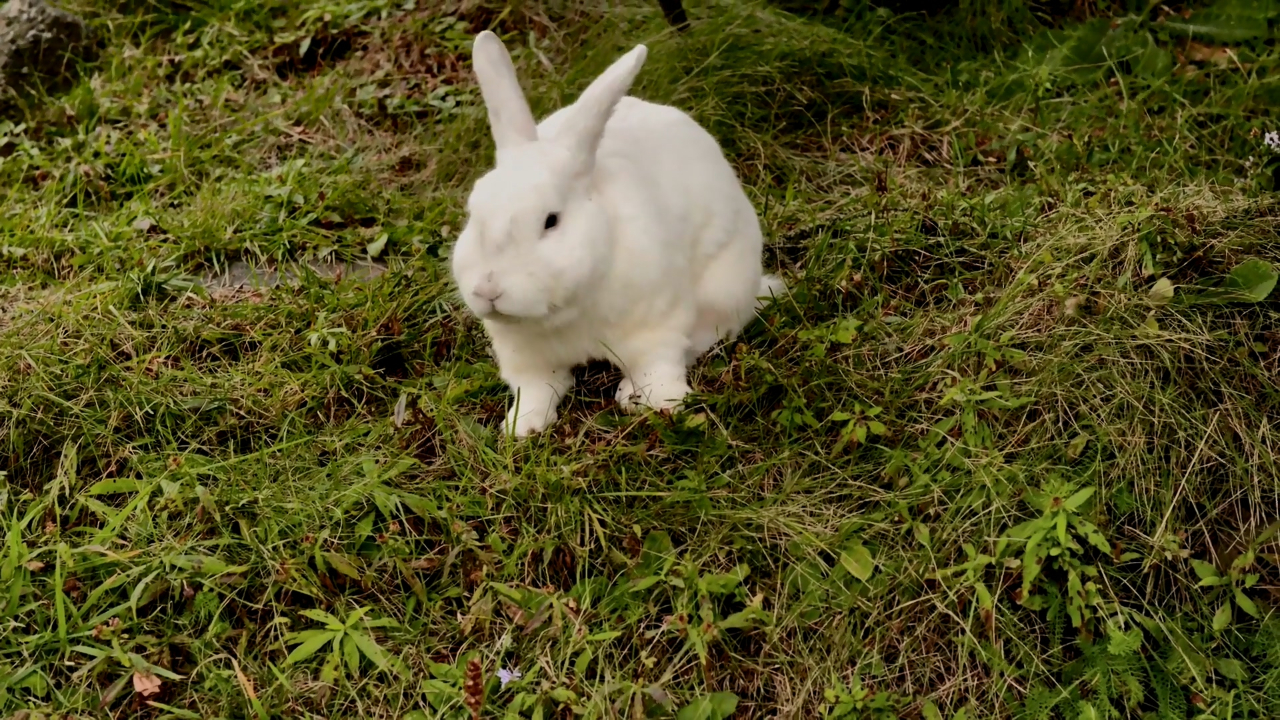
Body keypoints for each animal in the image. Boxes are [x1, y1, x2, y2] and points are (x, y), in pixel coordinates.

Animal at [455, 30, 783, 435]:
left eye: (551, 220)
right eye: (473, 214)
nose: (488, 290)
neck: (566, 312)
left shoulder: (656, 325)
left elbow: (658, 368)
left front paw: (666, 405)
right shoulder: (524, 355)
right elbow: (537, 389)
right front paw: (522, 427)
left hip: (723, 288)